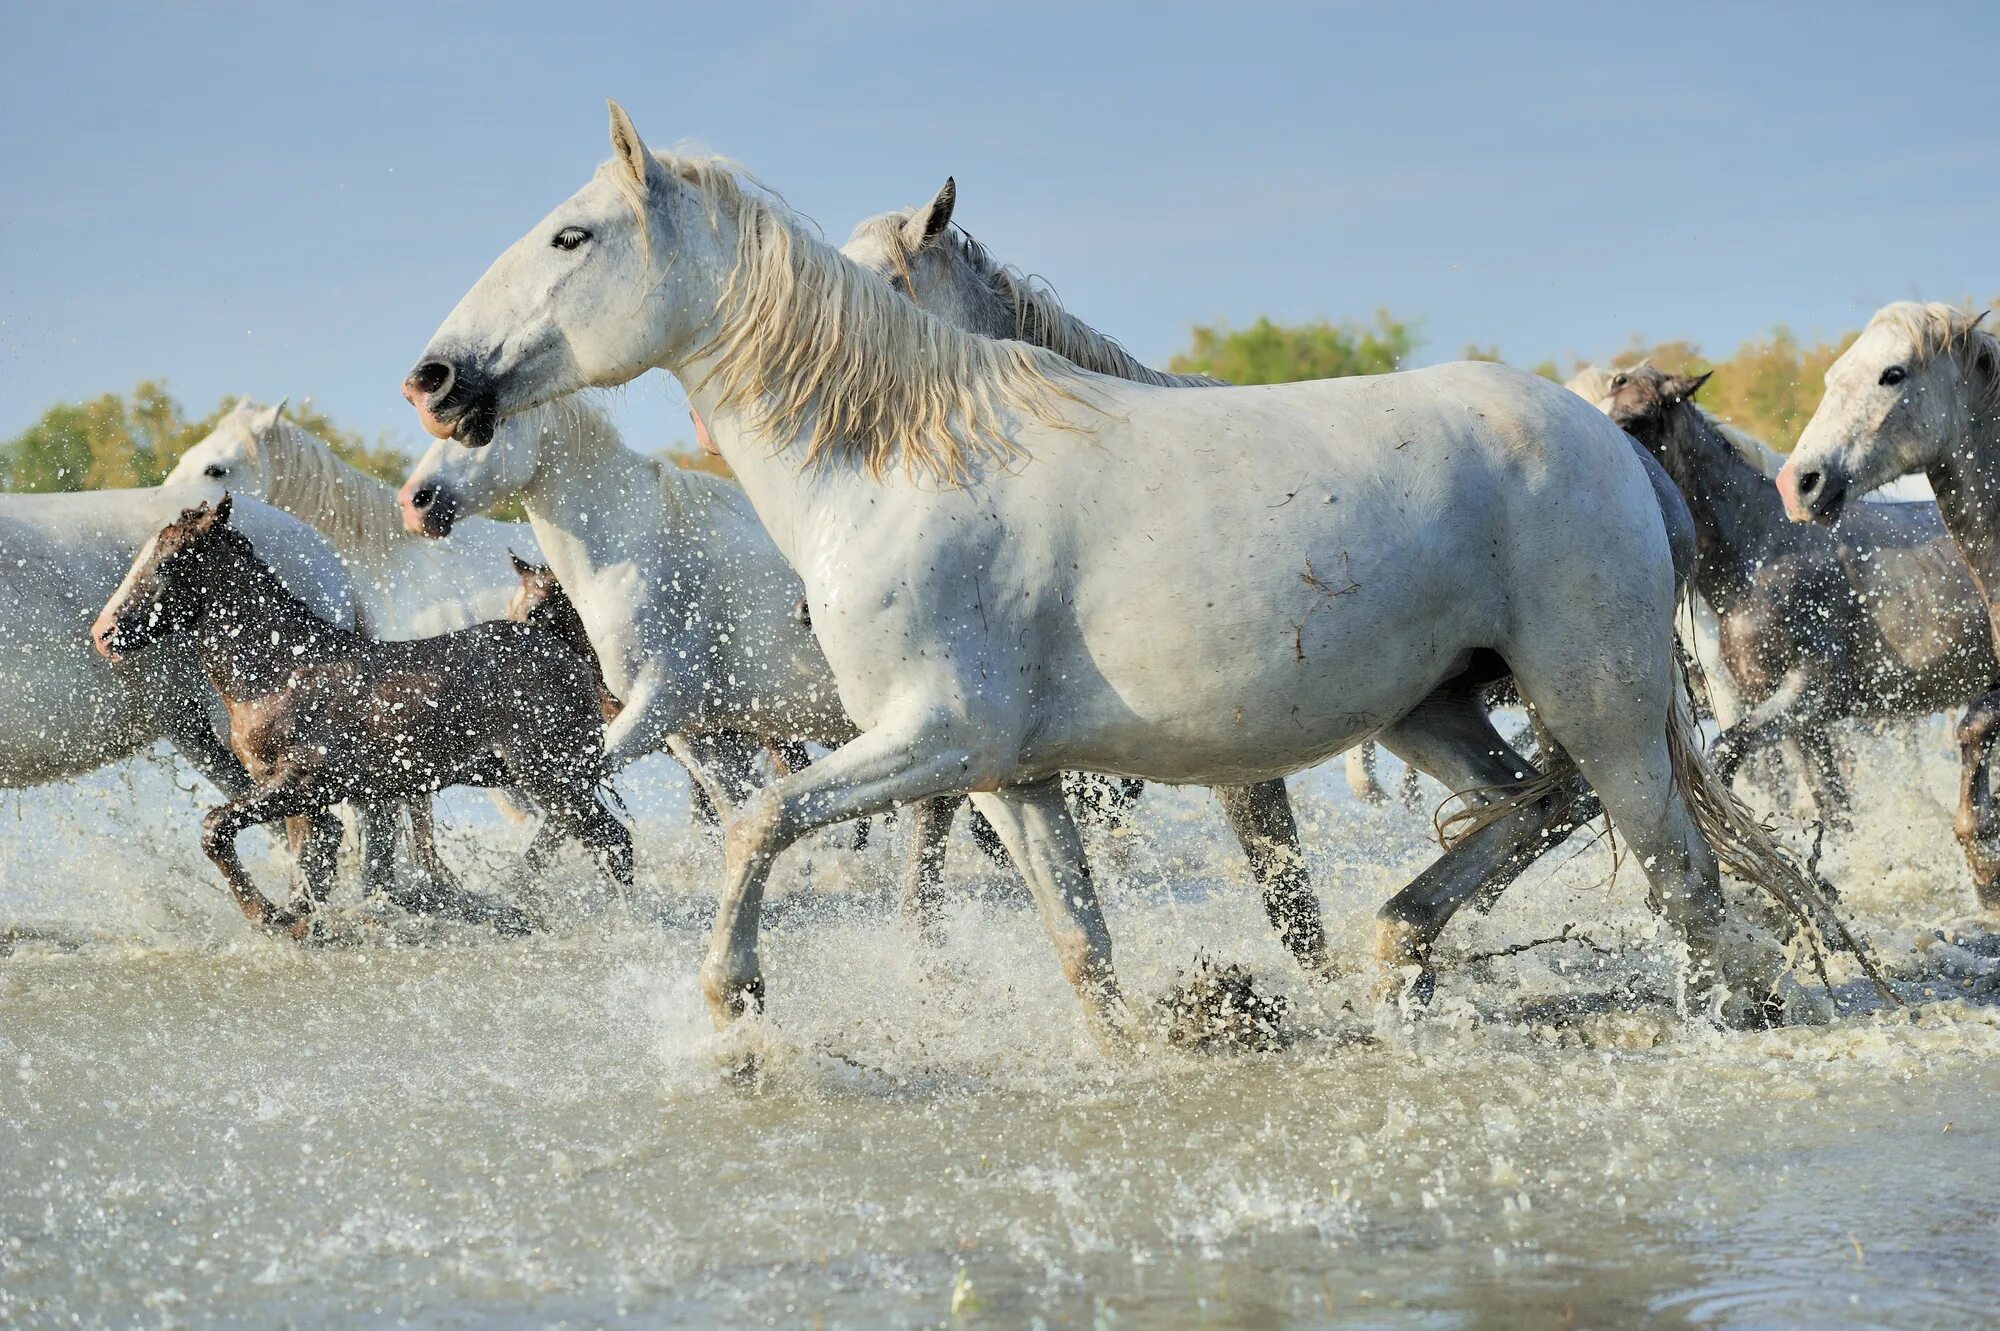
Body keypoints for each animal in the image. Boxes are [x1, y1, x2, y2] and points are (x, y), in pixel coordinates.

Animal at [90, 491, 624, 939]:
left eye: (170, 561)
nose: (103, 633)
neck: (277, 671)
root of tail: (569, 656)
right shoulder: (301, 799)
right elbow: (312, 867)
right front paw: (301, 924)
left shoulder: (303, 782)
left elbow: (216, 828)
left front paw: (266, 916)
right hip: (551, 781)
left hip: (551, 777)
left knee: (612, 842)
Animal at [1600, 365, 1992, 819]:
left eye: (1635, 420)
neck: (1761, 551)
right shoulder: (1794, 717)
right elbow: (1833, 806)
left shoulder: (1813, 691)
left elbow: (1727, 752)